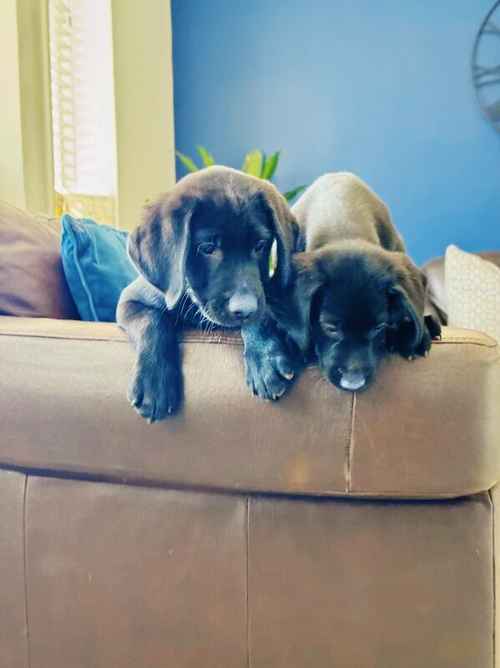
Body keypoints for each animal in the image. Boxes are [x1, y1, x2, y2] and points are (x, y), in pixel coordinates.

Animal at [115, 164, 298, 420]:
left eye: (260, 245)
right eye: (207, 248)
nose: (245, 308)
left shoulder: (266, 291)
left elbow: (261, 315)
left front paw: (265, 356)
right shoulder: (129, 300)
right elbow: (151, 321)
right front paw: (154, 381)